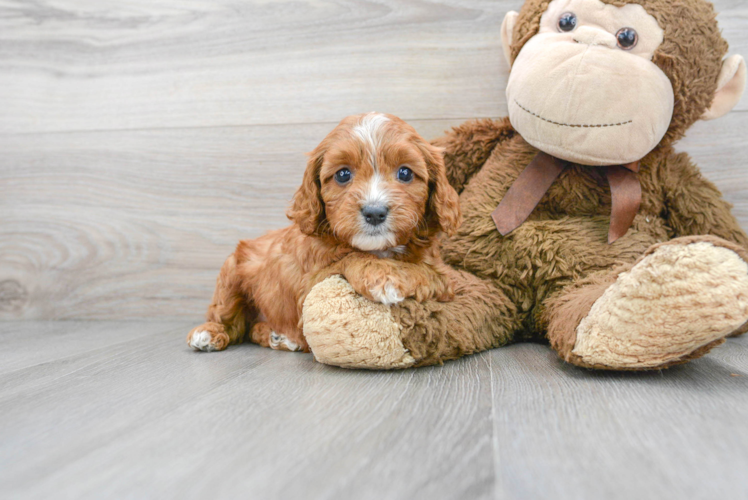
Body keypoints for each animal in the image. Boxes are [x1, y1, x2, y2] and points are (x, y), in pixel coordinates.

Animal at [186, 113, 462, 354]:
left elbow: (434, 275)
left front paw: (397, 275)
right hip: (232, 271)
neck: (378, 248)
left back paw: (277, 336)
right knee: (229, 320)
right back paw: (208, 333)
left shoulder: (442, 273)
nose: (374, 212)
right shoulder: (309, 288)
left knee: (251, 329)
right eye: (343, 174)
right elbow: (352, 257)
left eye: (405, 173)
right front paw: (385, 275)